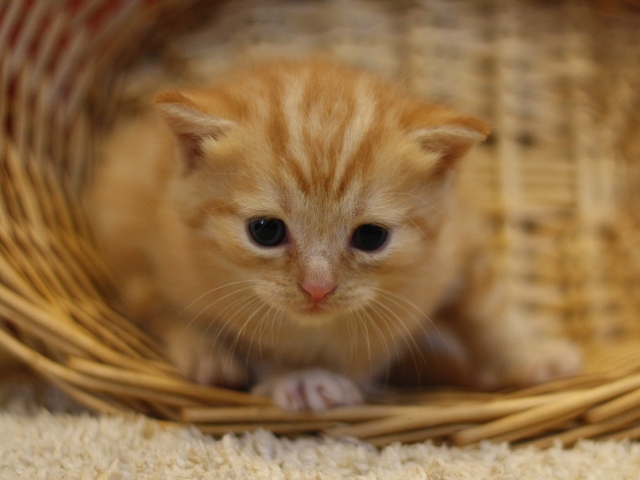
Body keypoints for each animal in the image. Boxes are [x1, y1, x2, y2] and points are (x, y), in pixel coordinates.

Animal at [87, 61, 584, 408]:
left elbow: (490, 309)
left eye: (370, 237)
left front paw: (527, 355)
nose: (317, 287)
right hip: (125, 213)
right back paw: (205, 355)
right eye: (266, 231)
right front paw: (298, 377)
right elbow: (249, 336)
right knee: (155, 305)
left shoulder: (461, 240)